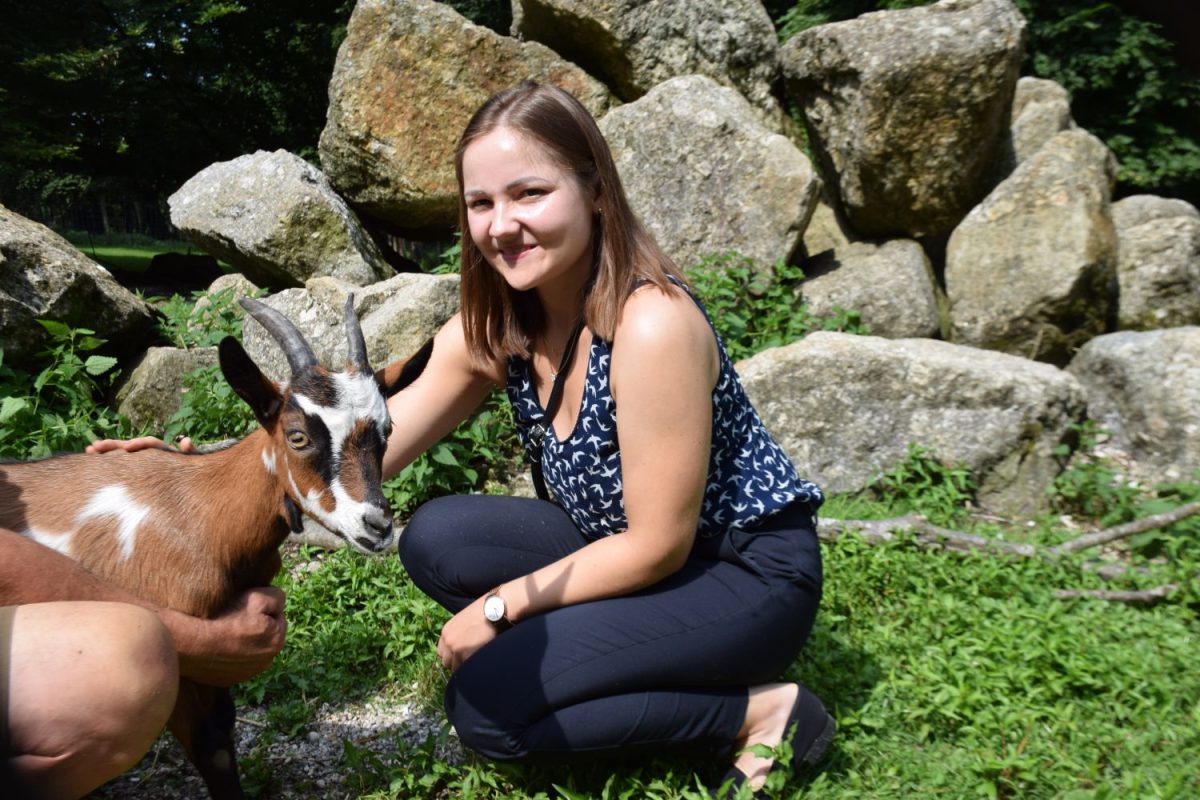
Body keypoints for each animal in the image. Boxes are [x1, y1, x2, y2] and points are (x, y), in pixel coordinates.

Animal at [0, 298, 432, 800]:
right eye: (297, 435)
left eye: (387, 430)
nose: (377, 525)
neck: (198, 510)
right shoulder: (188, 658)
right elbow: (211, 748)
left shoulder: (218, 657)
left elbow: (223, 739)